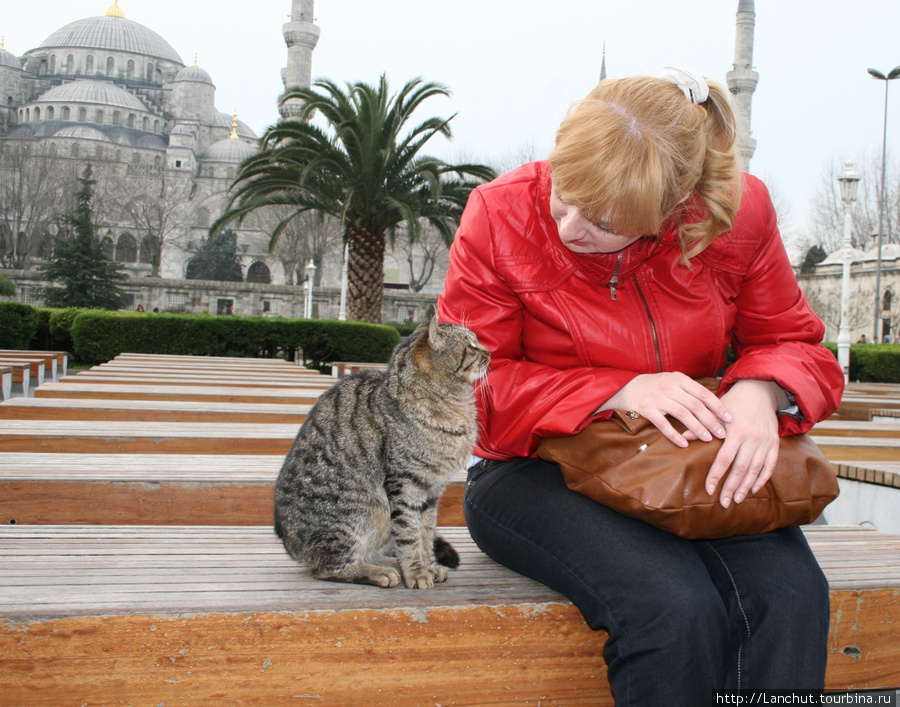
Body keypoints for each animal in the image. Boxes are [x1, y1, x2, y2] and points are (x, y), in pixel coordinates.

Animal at [272, 306, 488, 588]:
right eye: (471, 346)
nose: (490, 352)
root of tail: (291, 547)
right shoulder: (404, 485)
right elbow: (408, 534)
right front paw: (417, 571)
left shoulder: (432, 491)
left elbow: (426, 533)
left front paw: (429, 564)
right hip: (360, 511)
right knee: (329, 567)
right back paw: (377, 571)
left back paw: (389, 563)